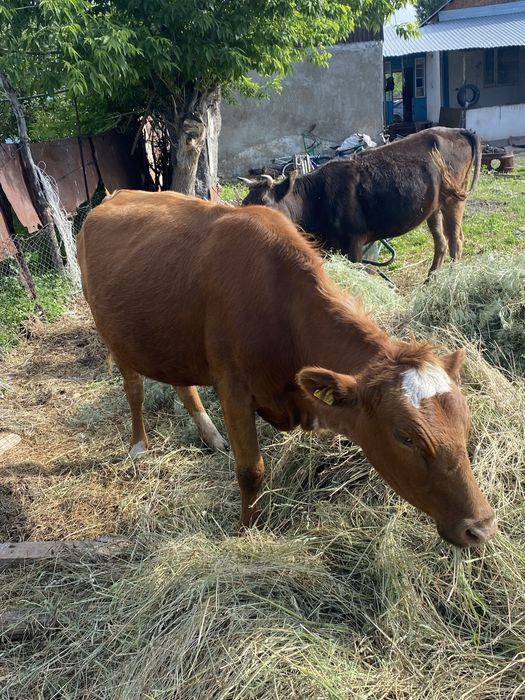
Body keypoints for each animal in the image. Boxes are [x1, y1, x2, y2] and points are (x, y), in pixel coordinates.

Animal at [77, 189, 496, 547]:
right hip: (113, 332)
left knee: (182, 383)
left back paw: (211, 437)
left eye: (466, 424)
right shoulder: (233, 388)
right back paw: (139, 446)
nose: (481, 527)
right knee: (134, 388)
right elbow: (251, 471)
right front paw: (246, 531)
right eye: (405, 437)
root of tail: (112, 196)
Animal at [241, 127, 481, 277]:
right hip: (434, 207)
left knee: (455, 240)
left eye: (265, 203)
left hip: (454, 199)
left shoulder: (354, 241)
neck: (316, 198)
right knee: (441, 242)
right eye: (243, 204)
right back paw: (430, 280)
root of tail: (457, 130)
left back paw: (451, 279)